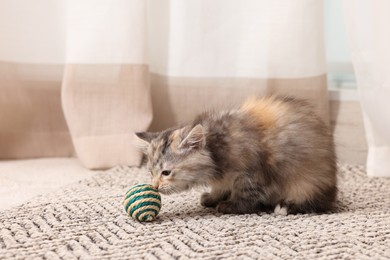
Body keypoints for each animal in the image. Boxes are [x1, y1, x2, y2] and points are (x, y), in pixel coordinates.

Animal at [136, 96, 336, 214]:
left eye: (166, 173)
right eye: (151, 172)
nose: (154, 186)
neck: (217, 152)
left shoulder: (252, 174)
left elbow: (246, 195)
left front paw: (231, 205)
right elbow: (220, 187)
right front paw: (213, 197)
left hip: (305, 182)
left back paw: (285, 206)